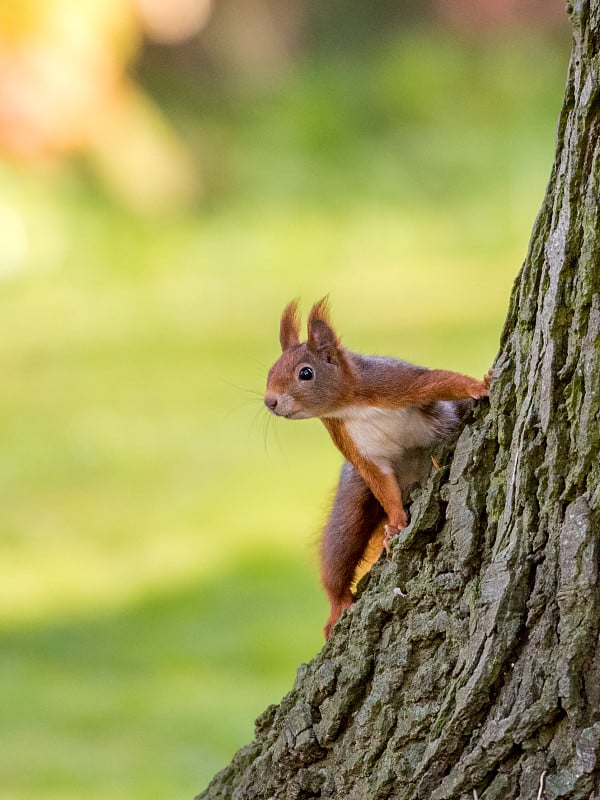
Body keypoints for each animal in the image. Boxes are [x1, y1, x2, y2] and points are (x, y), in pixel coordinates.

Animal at [264, 296, 490, 640]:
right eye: (270, 370)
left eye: (305, 373)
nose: (270, 401)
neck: (350, 405)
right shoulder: (355, 448)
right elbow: (380, 481)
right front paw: (396, 522)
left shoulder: (393, 383)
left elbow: (437, 381)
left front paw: (480, 384)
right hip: (352, 503)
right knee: (338, 553)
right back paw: (337, 606)